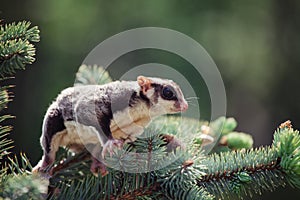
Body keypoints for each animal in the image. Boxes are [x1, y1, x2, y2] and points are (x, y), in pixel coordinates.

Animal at [32, 76, 188, 176]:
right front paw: (110, 142)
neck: (142, 111)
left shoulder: (137, 124)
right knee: (49, 144)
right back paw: (44, 165)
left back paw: (98, 164)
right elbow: (85, 110)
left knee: (95, 149)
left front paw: (122, 143)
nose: (185, 106)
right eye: (168, 92)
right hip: (55, 119)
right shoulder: (118, 97)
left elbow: (129, 136)